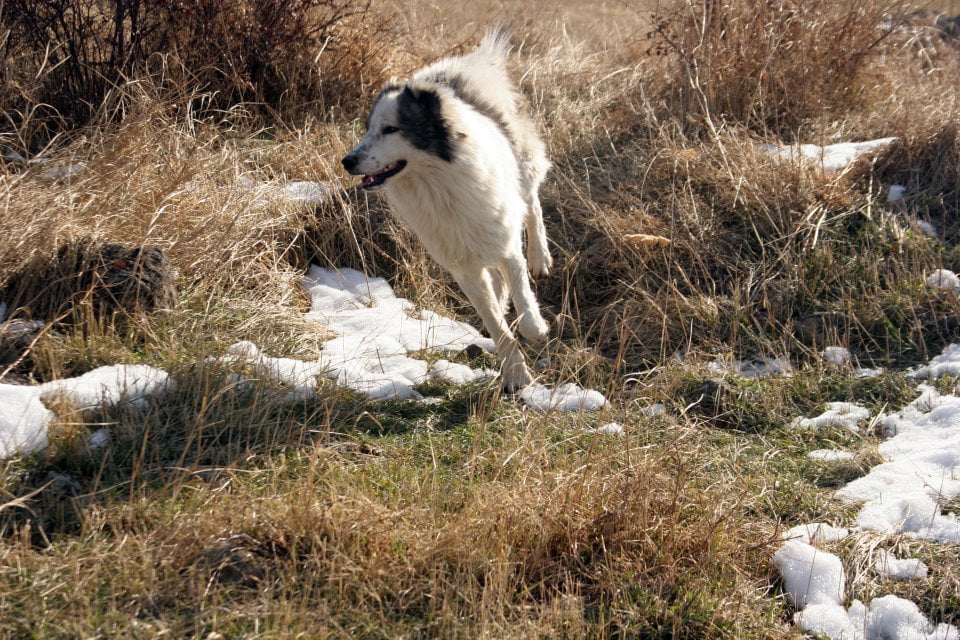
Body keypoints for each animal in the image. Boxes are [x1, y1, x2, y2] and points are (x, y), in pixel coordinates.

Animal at [344, 28, 556, 390]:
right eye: (368, 129)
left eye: (391, 129)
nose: (347, 161)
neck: (439, 184)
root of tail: (469, 64)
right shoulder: (463, 267)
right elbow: (495, 324)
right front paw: (515, 374)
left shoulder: (505, 243)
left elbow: (523, 295)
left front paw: (535, 327)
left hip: (522, 166)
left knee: (531, 205)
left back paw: (540, 258)